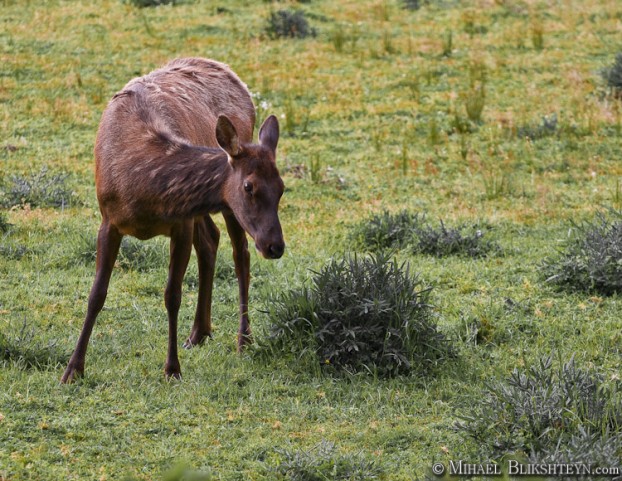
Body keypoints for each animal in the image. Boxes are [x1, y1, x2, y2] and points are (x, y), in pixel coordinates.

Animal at [61, 57, 286, 382]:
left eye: (282, 188)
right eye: (249, 186)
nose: (275, 246)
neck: (142, 190)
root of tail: (229, 72)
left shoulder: (180, 224)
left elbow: (173, 295)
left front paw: (172, 369)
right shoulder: (109, 220)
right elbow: (96, 294)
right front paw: (73, 369)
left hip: (224, 209)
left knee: (240, 253)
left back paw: (243, 339)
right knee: (212, 240)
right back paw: (199, 332)